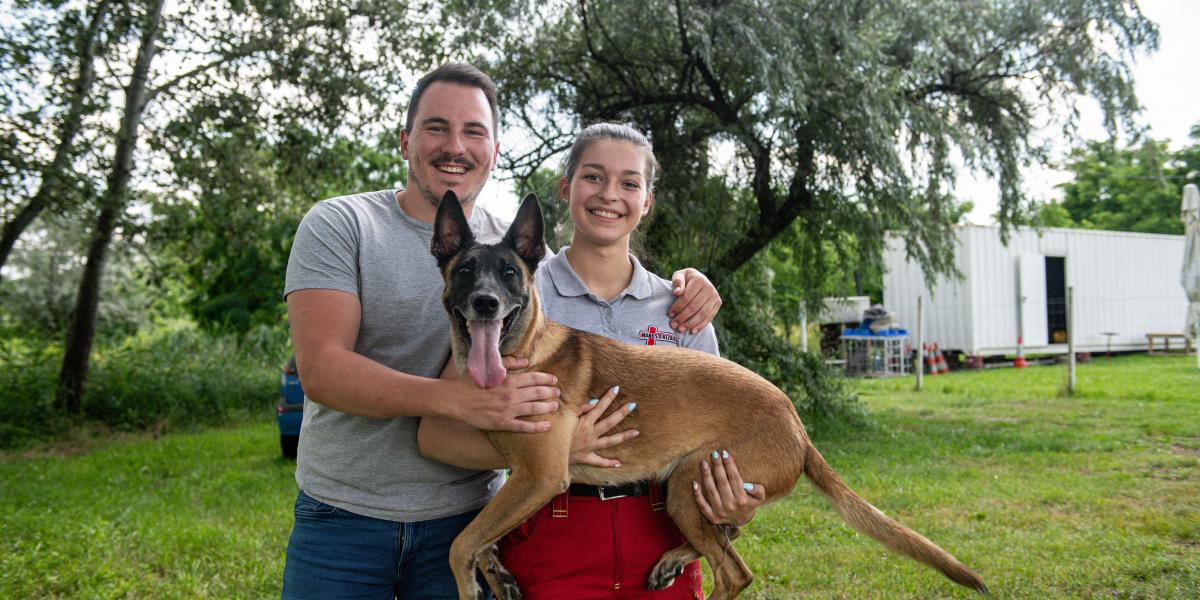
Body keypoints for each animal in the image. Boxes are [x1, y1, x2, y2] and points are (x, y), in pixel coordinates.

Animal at [432, 193, 984, 600]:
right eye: (464, 271)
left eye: (509, 273)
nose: (485, 303)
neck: (524, 352)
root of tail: (797, 427)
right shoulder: (523, 480)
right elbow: (482, 538)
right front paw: (498, 573)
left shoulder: (541, 476)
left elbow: (460, 543)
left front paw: (469, 585)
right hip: (694, 490)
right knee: (731, 537)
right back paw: (674, 558)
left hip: (687, 482)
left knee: (735, 570)